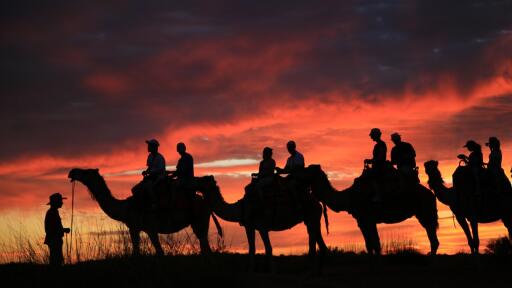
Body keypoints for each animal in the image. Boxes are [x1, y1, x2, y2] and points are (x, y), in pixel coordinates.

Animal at [66, 169, 222, 256]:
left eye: (86, 172)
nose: (71, 171)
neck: (126, 207)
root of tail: (205, 201)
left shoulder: (149, 228)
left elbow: (156, 252)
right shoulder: (135, 228)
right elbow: (138, 251)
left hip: (200, 219)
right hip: (199, 221)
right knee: (204, 244)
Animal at [196, 174, 328, 272]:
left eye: (202, 179)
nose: (194, 180)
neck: (242, 207)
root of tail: (318, 202)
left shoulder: (262, 227)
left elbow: (268, 248)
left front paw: (271, 270)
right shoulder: (249, 226)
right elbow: (252, 248)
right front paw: (251, 270)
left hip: (311, 217)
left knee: (312, 242)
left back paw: (311, 269)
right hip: (313, 219)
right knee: (319, 242)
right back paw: (318, 269)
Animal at [304, 164, 440, 254]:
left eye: (307, 170)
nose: (299, 171)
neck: (349, 196)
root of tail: (432, 195)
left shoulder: (365, 219)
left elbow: (372, 244)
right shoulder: (367, 220)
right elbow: (373, 245)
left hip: (426, 212)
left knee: (434, 240)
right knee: (433, 240)